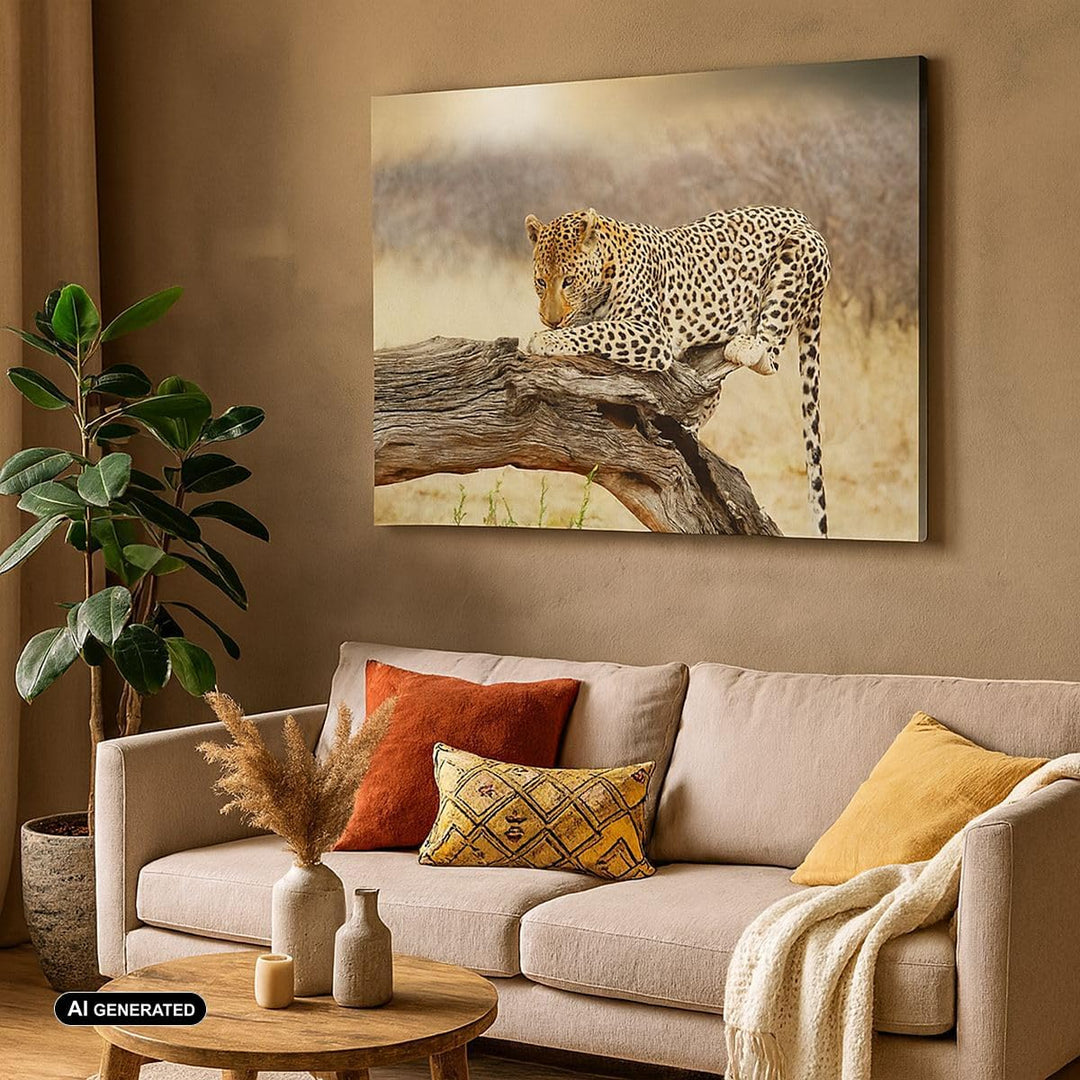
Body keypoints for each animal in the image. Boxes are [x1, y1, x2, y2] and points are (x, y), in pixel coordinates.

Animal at [524, 205, 831, 537]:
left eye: (568, 281)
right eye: (541, 282)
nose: (551, 320)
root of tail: (802, 217)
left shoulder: (652, 335)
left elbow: (598, 330)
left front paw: (546, 340)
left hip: (797, 253)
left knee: (770, 352)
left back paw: (746, 345)